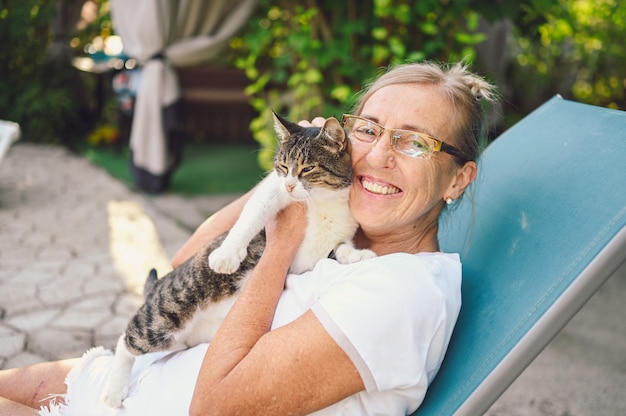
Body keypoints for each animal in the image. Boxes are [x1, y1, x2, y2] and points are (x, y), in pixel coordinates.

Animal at [104, 113, 372, 406]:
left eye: (308, 168)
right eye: (283, 166)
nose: (290, 185)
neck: (324, 204)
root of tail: (158, 286)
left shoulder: (330, 241)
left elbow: (339, 249)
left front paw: (359, 254)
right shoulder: (272, 191)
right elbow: (252, 213)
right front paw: (226, 255)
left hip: (175, 339)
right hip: (166, 313)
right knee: (126, 339)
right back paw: (114, 391)